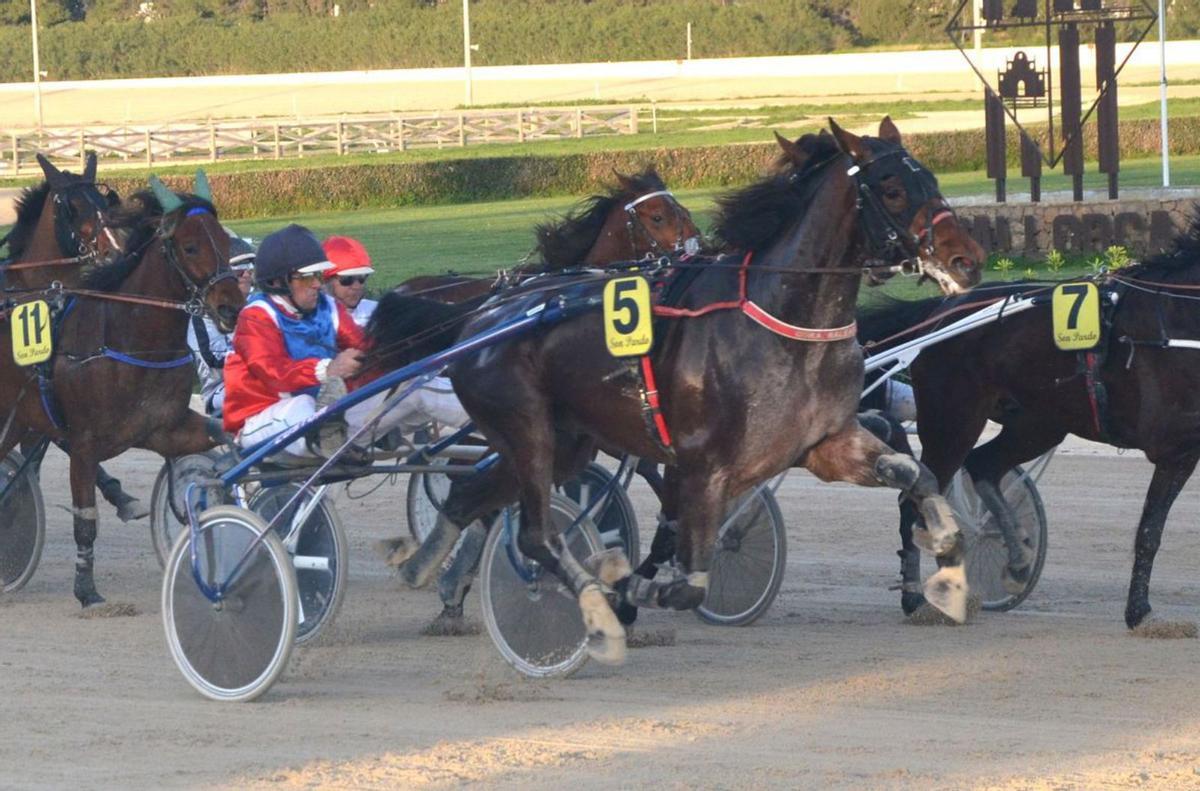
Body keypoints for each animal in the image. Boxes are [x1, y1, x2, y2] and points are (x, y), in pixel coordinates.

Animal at [0, 177, 243, 607]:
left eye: (225, 242)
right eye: (190, 246)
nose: (231, 306)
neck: (128, 336)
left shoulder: (164, 428)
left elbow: (215, 439)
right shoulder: (82, 442)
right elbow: (85, 521)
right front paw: (86, 589)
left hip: (17, 422)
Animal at [372, 117, 984, 662]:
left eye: (931, 178)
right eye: (893, 188)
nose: (968, 259)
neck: (784, 321)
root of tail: (480, 318)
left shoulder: (825, 445)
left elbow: (919, 476)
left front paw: (948, 576)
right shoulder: (700, 465)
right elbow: (687, 578)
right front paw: (633, 587)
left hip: (564, 443)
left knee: (468, 497)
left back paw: (424, 568)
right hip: (528, 430)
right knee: (535, 536)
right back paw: (594, 604)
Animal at [864, 213, 1200, 633]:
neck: (1179, 316)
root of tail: (937, 313)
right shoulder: (1173, 447)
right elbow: (1150, 531)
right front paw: (1140, 612)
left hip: (1039, 422)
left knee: (983, 465)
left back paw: (1016, 564)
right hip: (953, 419)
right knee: (917, 501)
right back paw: (916, 599)